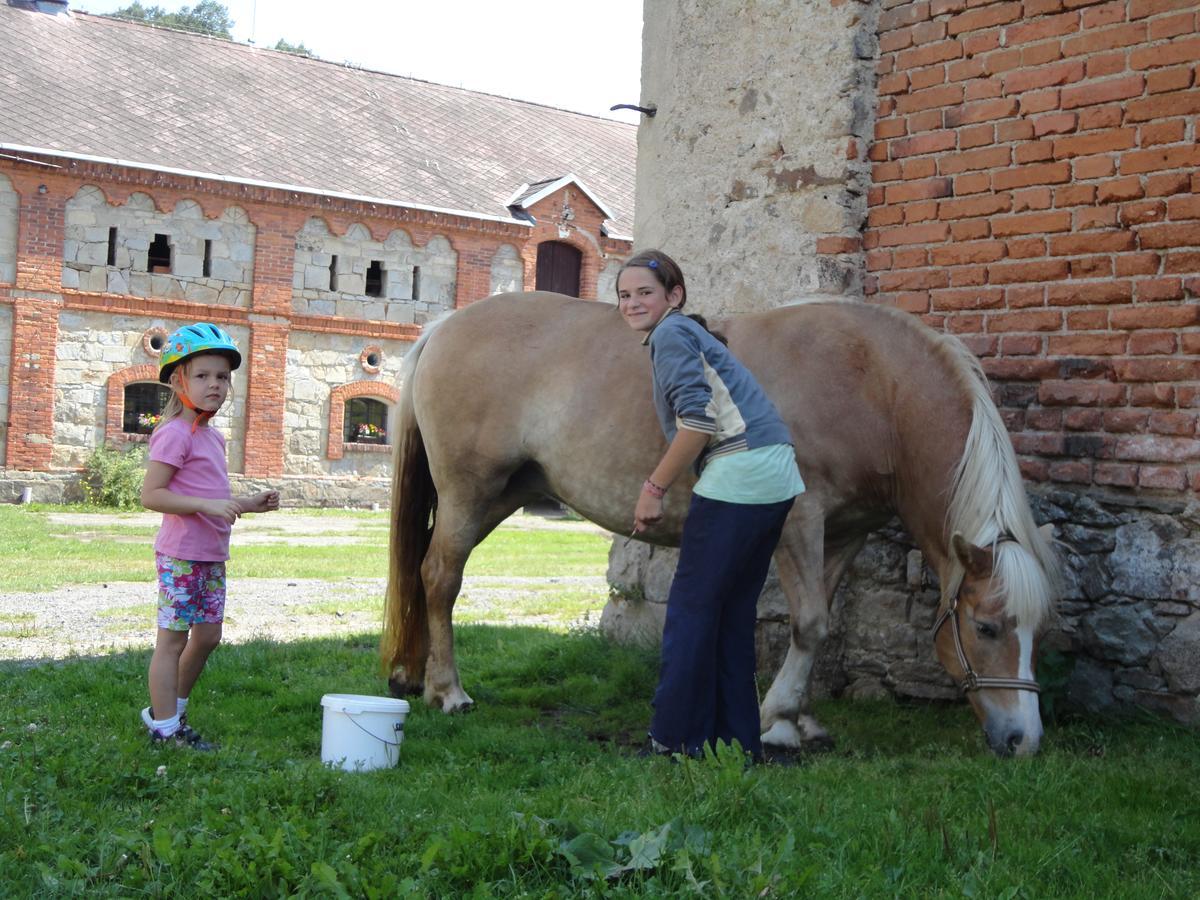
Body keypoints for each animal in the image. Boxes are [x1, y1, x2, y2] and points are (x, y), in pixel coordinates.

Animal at [376, 292, 1060, 758]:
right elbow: (811, 624)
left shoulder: (846, 532)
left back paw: (415, 677)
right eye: (986, 627)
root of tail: (443, 327)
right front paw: (777, 721)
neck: (870, 384)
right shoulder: (799, 521)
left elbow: (821, 621)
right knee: (439, 577)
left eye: (1038, 633)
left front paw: (798, 715)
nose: (1023, 739)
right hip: (469, 494)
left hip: (502, 495)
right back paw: (448, 691)